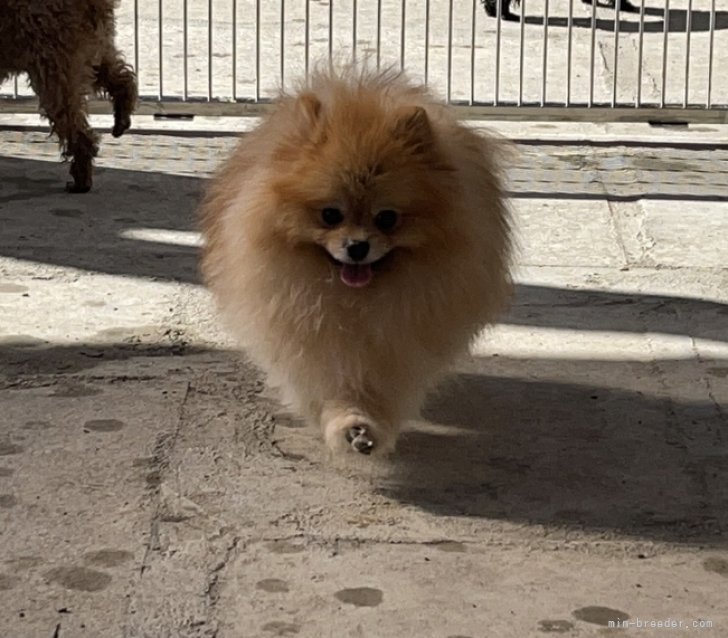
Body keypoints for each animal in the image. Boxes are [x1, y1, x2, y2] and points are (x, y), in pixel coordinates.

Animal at [0, 0, 137, 192]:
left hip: (56, 62)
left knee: (79, 133)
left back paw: (81, 181)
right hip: (94, 47)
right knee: (123, 79)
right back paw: (121, 121)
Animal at [199, 67, 512, 460]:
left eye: (387, 218)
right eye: (330, 215)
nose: (358, 247)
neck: (356, 305)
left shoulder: (396, 347)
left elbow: (379, 392)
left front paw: (368, 427)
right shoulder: (312, 342)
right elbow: (332, 391)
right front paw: (349, 424)